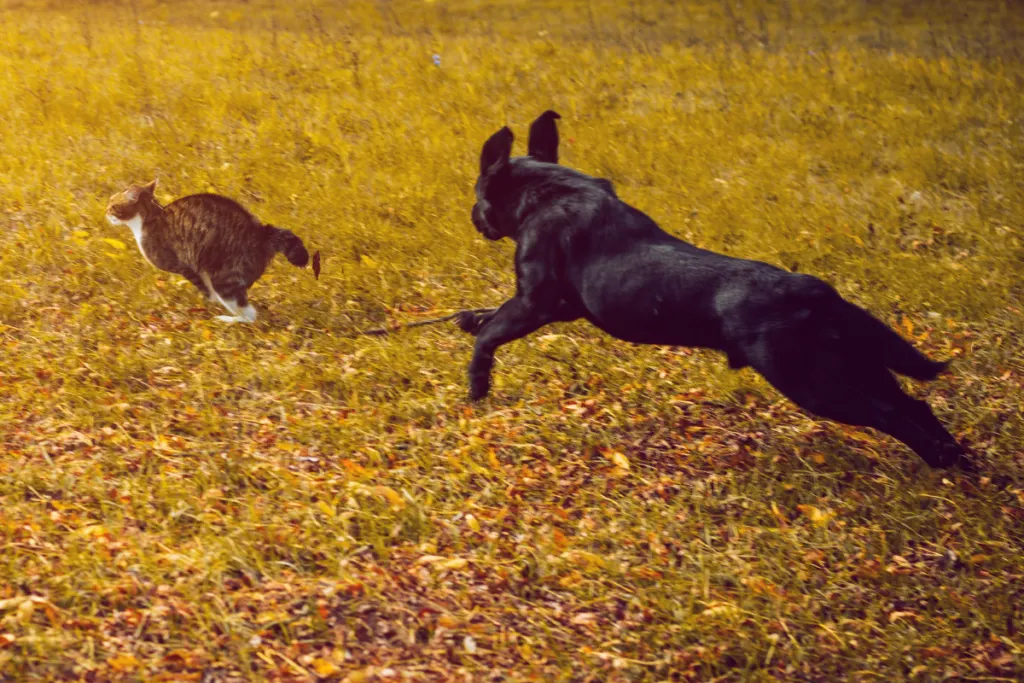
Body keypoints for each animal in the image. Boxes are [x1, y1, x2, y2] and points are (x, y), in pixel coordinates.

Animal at [104, 180, 313, 321]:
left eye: (113, 204)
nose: (105, 211)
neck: (149, 218)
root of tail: (260, 233)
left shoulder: (184, 266)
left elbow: (204, 288)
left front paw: (209, 302)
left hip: (223, 279)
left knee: (250, 315)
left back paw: (227, 319)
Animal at [460, 109, 970, 471]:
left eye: (477, 193)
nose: (474, 217)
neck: (552, 188)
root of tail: (816, 294)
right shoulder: (555, 307)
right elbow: (490, 316)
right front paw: (470, 318)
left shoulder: (535, 303)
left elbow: (491, 335)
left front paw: (477, 384)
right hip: (854, 365)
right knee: (913, 405)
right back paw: (959, 461)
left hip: (814, 382)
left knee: (891, 416)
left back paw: (939, 461)